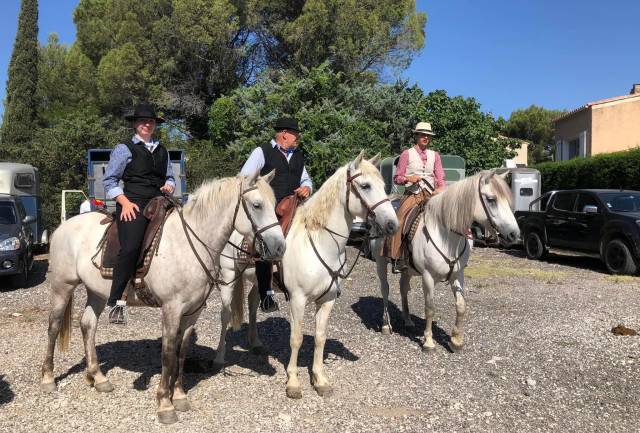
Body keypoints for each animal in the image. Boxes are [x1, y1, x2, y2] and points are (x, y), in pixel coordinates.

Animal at [40, 172, 285, 424]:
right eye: (257, 205)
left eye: (275, 204)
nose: (280, 248)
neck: (190, 245)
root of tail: (63, 227)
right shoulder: (171, 308)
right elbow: (168, 353)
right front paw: (165, 404)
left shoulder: (193, 311)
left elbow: (182, 351)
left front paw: (179, 395)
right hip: (62, 286)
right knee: (54, 326)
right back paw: (48, 378)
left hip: (96, 292)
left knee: (87, 325)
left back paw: (98, 377)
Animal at [216, 151, 399, 398]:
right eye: (365, 185)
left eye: (383, 185)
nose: (392, 224)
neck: (320, 241)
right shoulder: (298, 299)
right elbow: (296, 339)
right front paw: (293, 382)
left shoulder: (327, 300)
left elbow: (320, 337)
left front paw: (319, 379)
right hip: (228, 275)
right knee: (225, 315)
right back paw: (219, 357)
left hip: (257, 280)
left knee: (253, 304)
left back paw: (255, 343)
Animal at [373, 170, 519, 351]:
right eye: (491, 199)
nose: (514, 234)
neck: (446, 236)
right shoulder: (428, 277)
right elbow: (430, 308)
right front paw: (428, 341)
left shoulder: (457, 275)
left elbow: (461, 306)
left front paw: (456, 340)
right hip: (380, 263)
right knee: (385, 289)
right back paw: (386, 325)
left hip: (407, 269)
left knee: (403, 288)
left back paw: (407, 320)